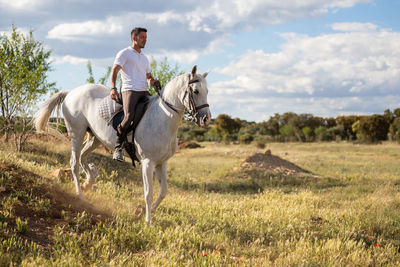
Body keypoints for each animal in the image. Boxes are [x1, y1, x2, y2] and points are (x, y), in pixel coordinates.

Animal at [34, 66, 211, 224]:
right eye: (195, 91)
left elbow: (163, 192)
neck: (163, 118)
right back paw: (80, 195)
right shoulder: (148, 162)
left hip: (95, 138)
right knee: (74, 163)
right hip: (76, 134)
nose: (206, 119)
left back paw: (89, 180)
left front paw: (141, 211)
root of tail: (71, 92)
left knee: (83, 157)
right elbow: (149, 193)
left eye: (207, 91)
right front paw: (148, 220)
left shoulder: (162, 162)